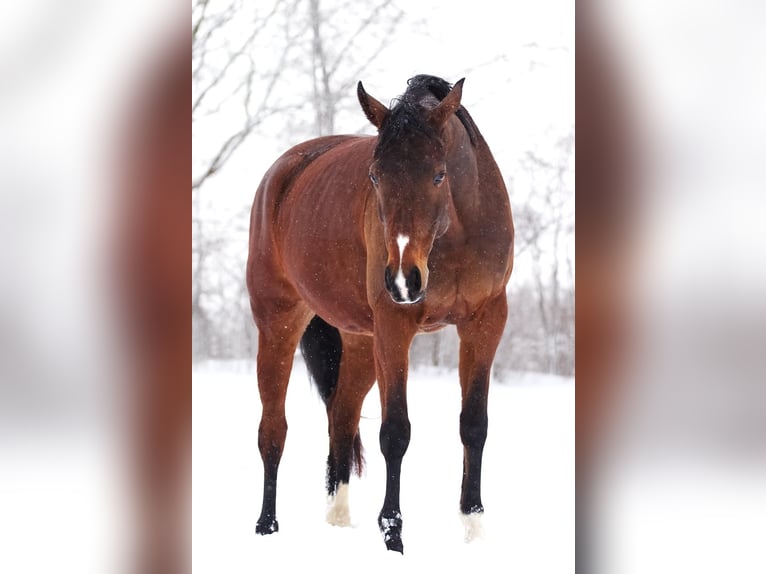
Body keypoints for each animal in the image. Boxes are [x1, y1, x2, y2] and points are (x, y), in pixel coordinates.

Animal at [246, 74, 514, 553]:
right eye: (374, 175)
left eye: (439, 174)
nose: (404, 279)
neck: (458, 233)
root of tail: (282, 173)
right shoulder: (395, 327)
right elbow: (395, 432)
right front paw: (393, 535)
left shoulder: (485, 322)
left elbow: (474, 424)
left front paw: (474, 528)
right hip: (278, 322)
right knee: (273, 430)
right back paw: (266, 527)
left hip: (360, 342)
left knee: (341, 418)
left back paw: (337, 520)